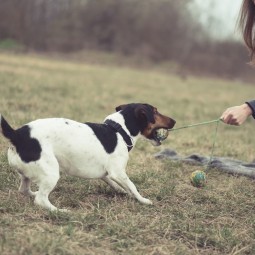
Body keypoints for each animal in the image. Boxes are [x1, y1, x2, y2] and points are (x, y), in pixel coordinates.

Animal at [0, 103, 175, 211]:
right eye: (156, 111)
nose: (174, 120)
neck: (119, 130)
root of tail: (16, 135)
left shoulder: (107, 174)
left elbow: (119, 185)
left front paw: (123, 191)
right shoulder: (118, 172)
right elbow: (132, 186)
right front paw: (143, 200)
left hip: (28, 174)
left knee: (24, 190)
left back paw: (34, 194)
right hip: (51, 173)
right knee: (41, 200)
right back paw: (59, 211)